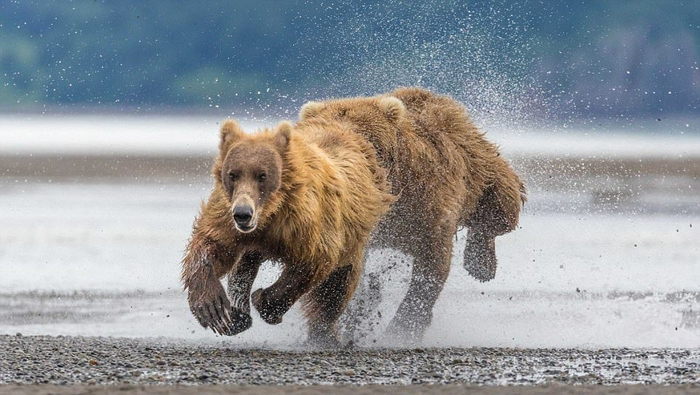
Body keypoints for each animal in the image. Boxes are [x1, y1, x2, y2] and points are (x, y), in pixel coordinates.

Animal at [182, 119, 394, 348]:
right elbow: (213, 245)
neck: (270, 212)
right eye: (232, 174)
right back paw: (238, 314)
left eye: (262, 175)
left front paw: (264, 301)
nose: (243, 214)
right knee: (245, 261)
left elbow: (313, 261)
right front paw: (213, 308)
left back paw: (325, 334)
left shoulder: (305, 222)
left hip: (351, 239)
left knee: (339, 285)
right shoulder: (227, 215)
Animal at [300, 88, 524, 342]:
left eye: (367, 138)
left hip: (477, 164)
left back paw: (481, 263)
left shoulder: (427, 205)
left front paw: (402, 327)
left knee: (499, 208)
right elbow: (334, 277)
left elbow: (430, 268)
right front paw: (323, 330)